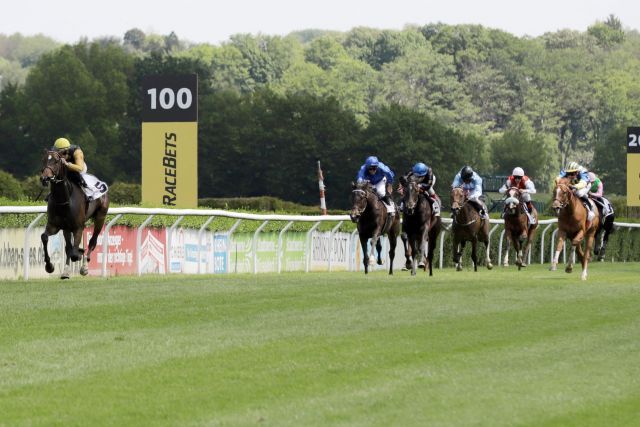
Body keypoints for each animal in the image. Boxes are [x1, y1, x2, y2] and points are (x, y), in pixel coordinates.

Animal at [39, 151, 109, 280]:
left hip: (100, 217)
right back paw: (65, 272)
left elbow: (75, 253)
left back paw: (84, 267)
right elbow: (45, 237)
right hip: (66, 228)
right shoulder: (54, 225)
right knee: (68, 247)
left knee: (92, 241)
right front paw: (49, 266)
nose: (44, 178)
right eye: (44, 160)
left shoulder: (78, 227)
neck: (64, 199)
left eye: (56, 161)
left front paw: (80, 254)